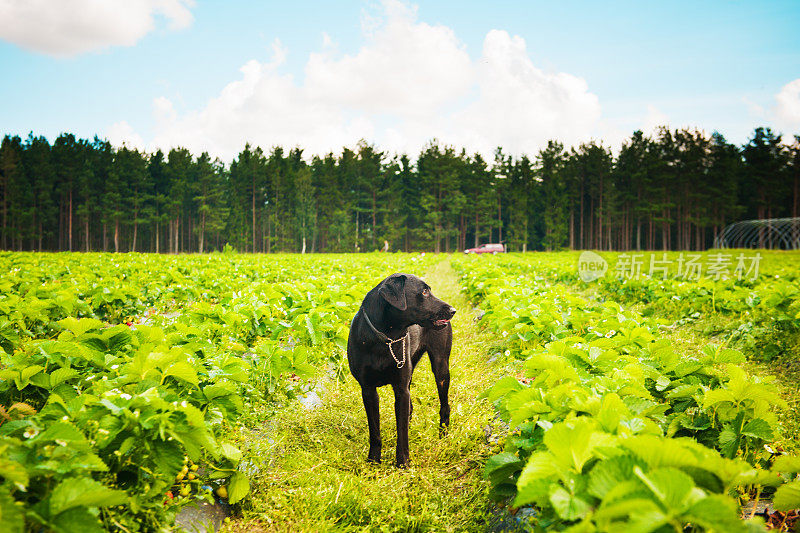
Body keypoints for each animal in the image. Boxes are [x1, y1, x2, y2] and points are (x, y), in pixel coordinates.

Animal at [346, 274, 454, 466]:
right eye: (424, 292)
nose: (453, 310)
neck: (385, 338)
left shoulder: (401, 389)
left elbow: (402, 432)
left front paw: (403, 463)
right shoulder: (368, 390)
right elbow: (375, 430)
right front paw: (373, 461)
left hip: (441, 368)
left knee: (444, 405)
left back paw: (443, 434)